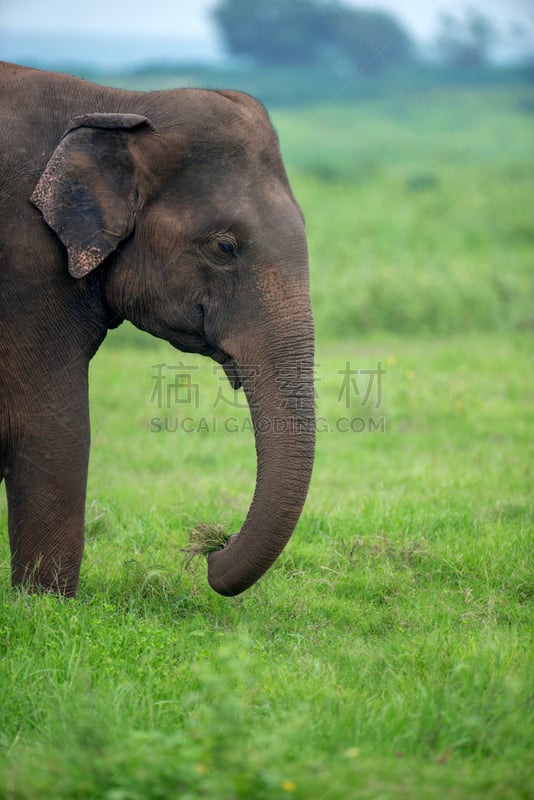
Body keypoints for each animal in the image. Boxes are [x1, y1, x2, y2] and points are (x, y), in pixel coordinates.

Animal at [0, 62, 316, 596]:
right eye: (225, 247)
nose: (214, 546)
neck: (119, 103)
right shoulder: (26, 264)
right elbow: (54, 427)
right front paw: (44, 602)